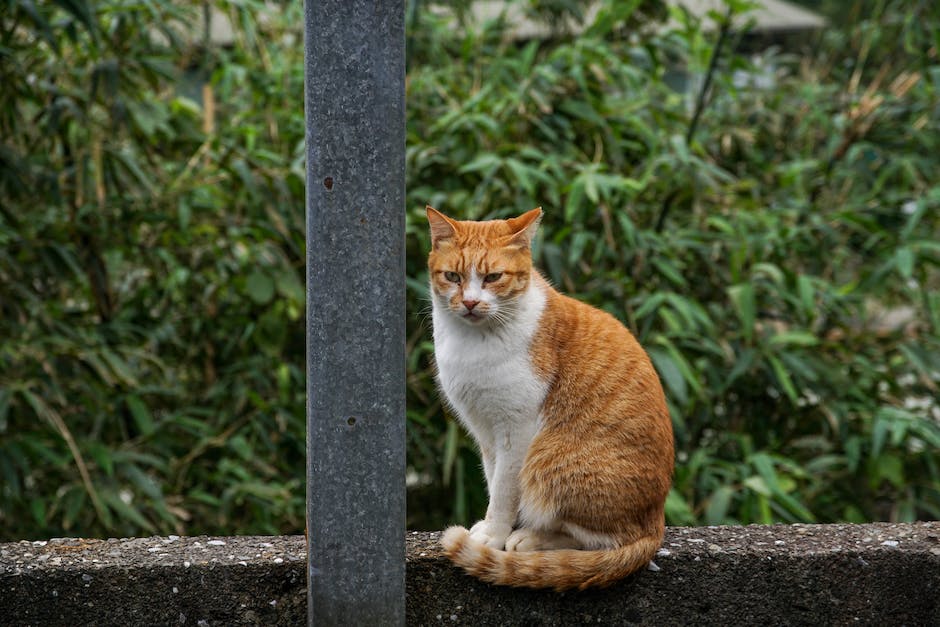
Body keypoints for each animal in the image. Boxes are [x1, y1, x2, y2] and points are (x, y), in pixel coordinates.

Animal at [426, 207, 676, 592]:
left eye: (493, 277)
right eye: (452, 276)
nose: (469, 302)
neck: (472, 342)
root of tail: (655, 525)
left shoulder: (516, 429)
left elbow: (505, 490)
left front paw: (495, 535)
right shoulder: (485, 430)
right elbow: (494, 479)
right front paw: (495, 527)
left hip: (550, 460)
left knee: (601, 540)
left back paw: (531, 539)